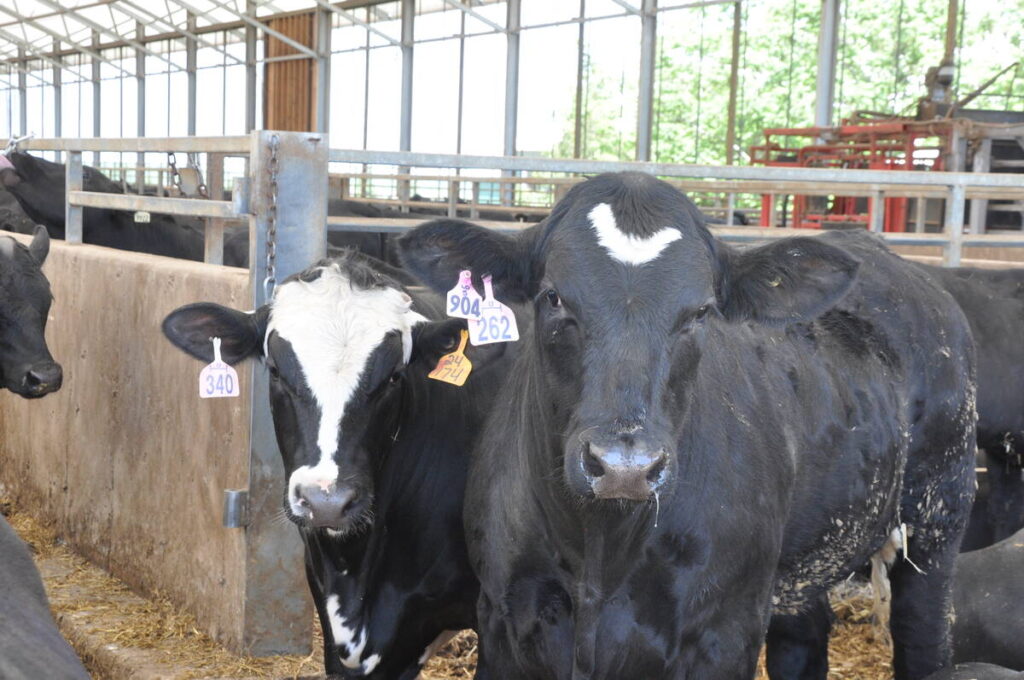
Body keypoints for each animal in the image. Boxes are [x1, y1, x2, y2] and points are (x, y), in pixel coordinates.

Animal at [397, 171, 977, 680]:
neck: (598, 557)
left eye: (700, 312)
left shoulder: (727, 631)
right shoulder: (502, 618)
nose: (625, 467)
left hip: (940, 512)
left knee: (925, 636)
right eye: (553, 296)